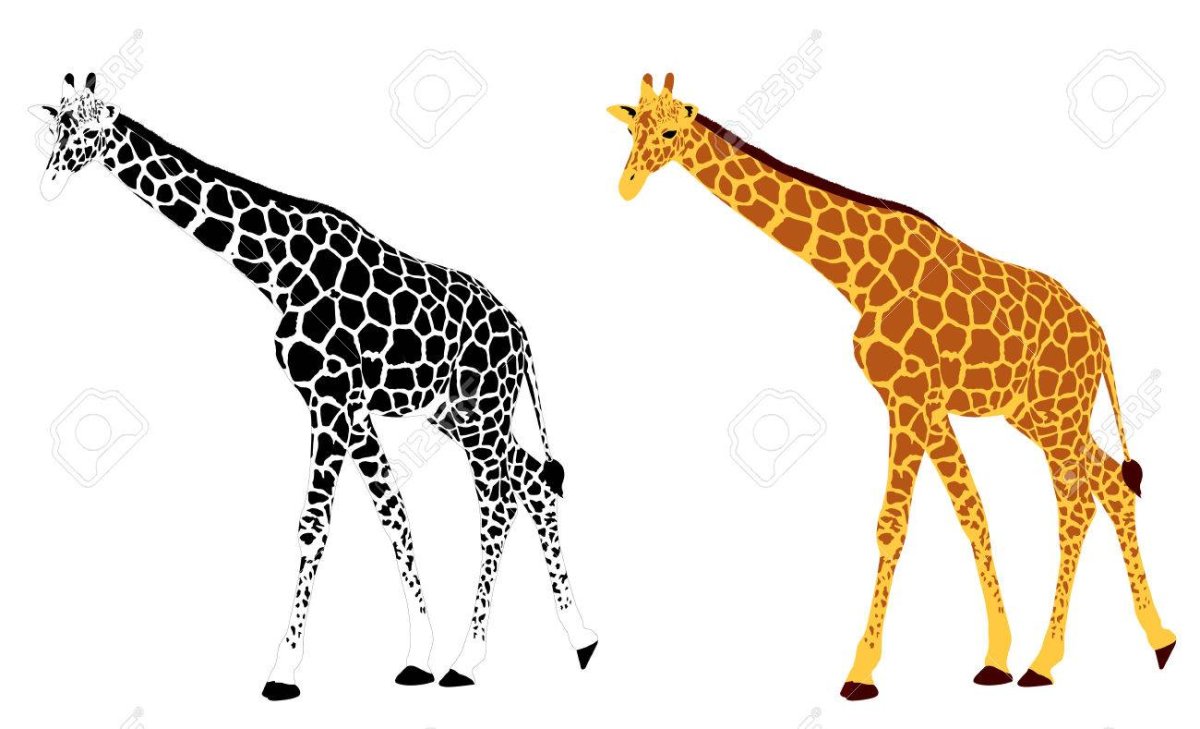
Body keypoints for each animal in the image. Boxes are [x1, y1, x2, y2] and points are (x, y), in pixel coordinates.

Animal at [33, 72, 598, 699]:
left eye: (89, 133)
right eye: (53, 130)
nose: (49, 185)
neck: (278, 269)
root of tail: (521, 333)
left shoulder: (330, 397)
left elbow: (313, 525)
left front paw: (283, 672)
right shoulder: (349, 404)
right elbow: (393, 512)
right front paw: (417, 656)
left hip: (483, 407)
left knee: (498, 502)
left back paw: (469, 660)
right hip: (451, 411)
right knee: (535, 482)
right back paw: (580, 639)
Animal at [608, 73, 1175, 699]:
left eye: (670, 132)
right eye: (632, 130)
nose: (627, 186)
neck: (860, 274)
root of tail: (1099, 334)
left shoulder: (907, 397)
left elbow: (891, 526)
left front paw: (861, 672)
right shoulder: (928, 405)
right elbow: (973, 512)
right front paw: (994, 658)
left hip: (1058, 411)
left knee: (1078, 505)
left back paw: (1054, 661)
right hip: (1034, 412)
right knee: (1110, 485)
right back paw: (1148, 643)